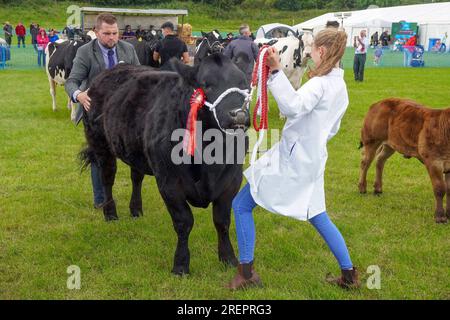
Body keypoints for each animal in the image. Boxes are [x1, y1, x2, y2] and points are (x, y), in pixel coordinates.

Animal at [81, 53, 250, 274]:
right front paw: (180, 265)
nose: (239, 114)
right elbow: (184, 222)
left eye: (244, 84)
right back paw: (110, 214)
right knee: (107, 178)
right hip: (101, 144)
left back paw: (136, 210)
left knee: (136, 177)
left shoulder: (231, 180)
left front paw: (228, 259)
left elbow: (222, 221)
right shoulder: (169, 182)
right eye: (207, 85)